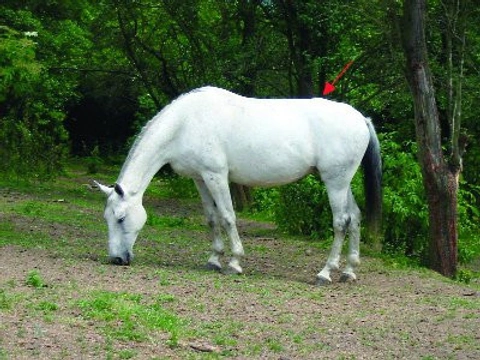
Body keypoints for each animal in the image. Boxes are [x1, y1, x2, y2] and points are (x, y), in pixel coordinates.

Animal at [95, 86, 382, 286]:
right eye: (106, 218)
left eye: (121, 218)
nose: (117, 259)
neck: (187, 122)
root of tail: (361, 118)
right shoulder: (200, 179)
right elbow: (212, 218)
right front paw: (214, 259)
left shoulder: (216, 176)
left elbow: (227, 216)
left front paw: (234, 262)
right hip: (343, 183)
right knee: (355, 217)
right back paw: (349, 271)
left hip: (335, 181)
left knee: (341, 222)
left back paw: (325, 273)